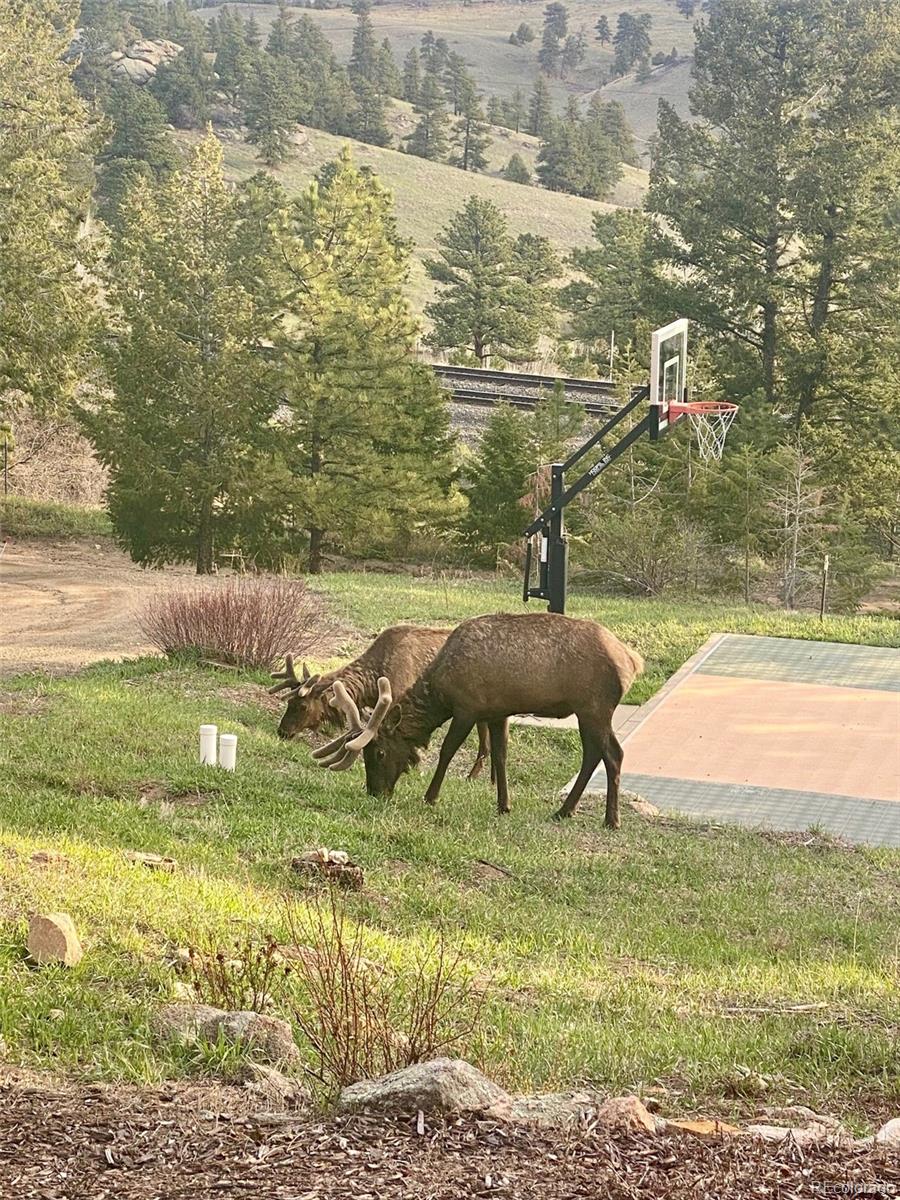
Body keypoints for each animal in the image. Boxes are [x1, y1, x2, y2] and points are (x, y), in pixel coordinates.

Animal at [314, 614, 643, 830]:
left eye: (379, 752)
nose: (374, 792)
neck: (440, 691)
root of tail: (632, 661)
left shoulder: (467, 709)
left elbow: (447, 751)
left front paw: (430, 796)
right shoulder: (497, 712)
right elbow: (500, 756)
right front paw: (504, 804)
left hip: (595, 708)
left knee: (613, 753)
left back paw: (611, 819)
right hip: (587, 712)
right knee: (593, 755)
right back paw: (564, 811)